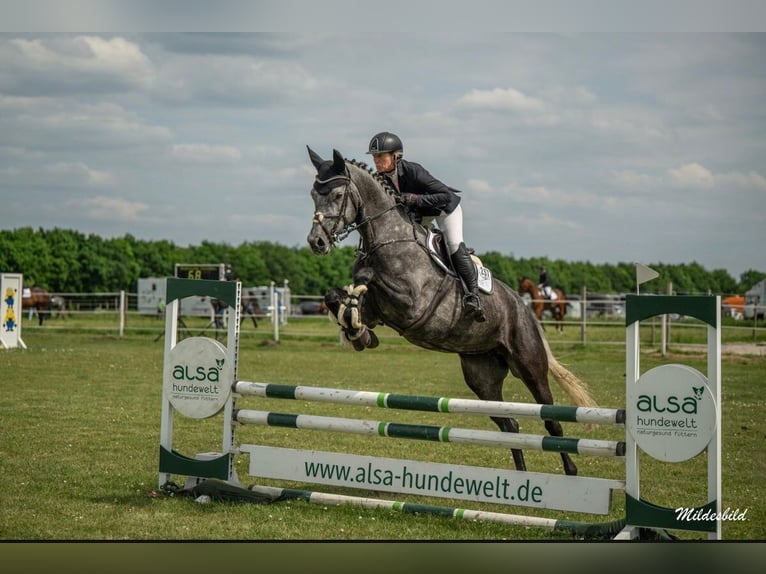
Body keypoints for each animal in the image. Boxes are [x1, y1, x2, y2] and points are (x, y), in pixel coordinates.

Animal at [308, 148, 596, 476]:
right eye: (313, 195)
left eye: (337, 194)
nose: (316, 242)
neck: (388, 238)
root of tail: (524, 312)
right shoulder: (382, 310)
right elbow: (338, 296)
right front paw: (357, 330)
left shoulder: (413, 303)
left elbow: (367, 277)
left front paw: (357, 313)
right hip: (482, 377)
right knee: (510, 424)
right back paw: (519, 476)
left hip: (530, 366)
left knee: (551, 422)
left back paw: (570, 471)